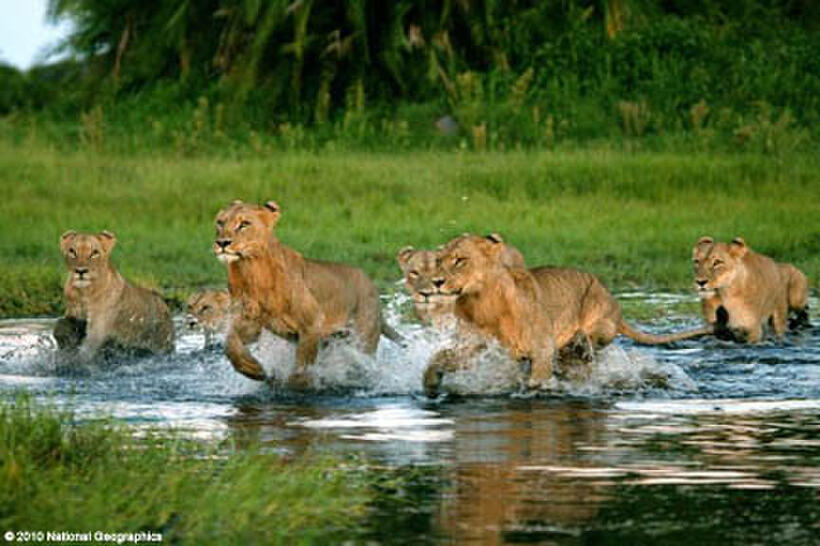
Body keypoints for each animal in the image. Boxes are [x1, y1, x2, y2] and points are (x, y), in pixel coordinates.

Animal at [53, 231, 174, 361]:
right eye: (72, 251)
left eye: (94, 253)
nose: (81, 271)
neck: (84, 293)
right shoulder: (73, 314)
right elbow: (60, 325)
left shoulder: (98, 328)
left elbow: (87, 349)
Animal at [214, 200, 402, 387]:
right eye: (220, 222)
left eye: (244, 224)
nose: (222, 243)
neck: (250, 271)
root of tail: (372, 286)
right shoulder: (252, 323)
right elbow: (230, 342)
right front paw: (252, 369)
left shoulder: (312, 325)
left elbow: (302, 365)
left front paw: (297, 384)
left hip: (362, 339)